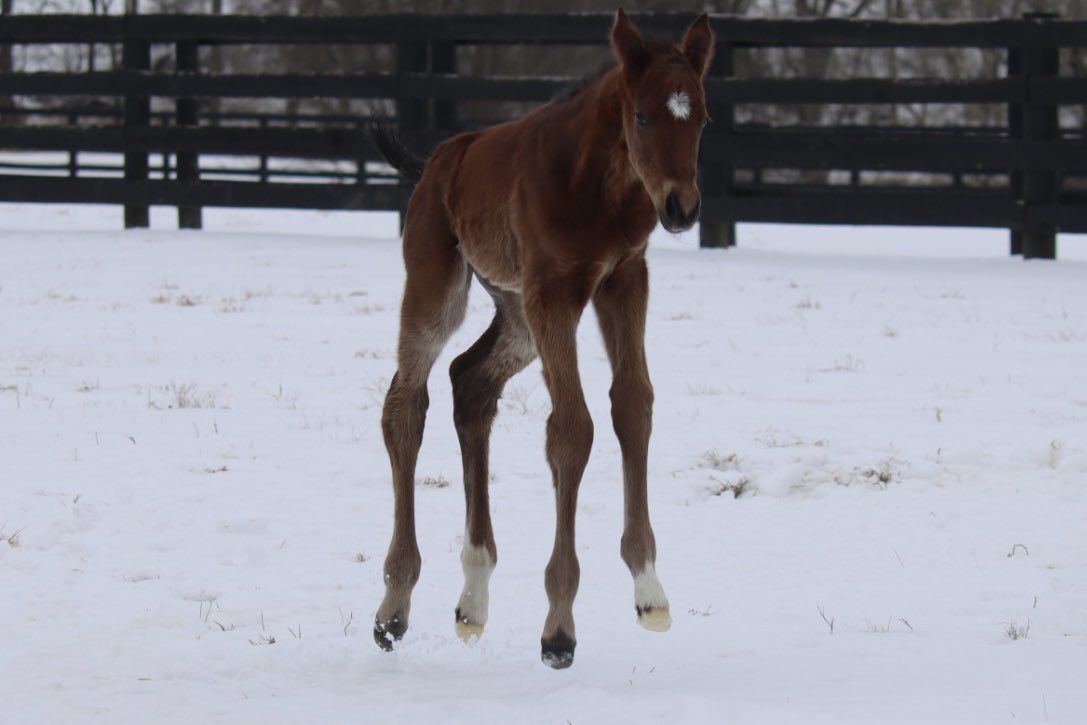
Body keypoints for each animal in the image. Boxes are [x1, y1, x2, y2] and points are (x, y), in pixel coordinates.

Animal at [371, 9, 714, 669]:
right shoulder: (555, 290)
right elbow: (572, 429)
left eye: (703, 116)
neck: (600, 184)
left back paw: (473, 598)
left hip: (516, 312)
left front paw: (649, 590)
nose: (681, 207)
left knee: (470, 383)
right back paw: (393, 607)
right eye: (642, 116)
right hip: (441, 284)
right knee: (406, 402)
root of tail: (439, 160)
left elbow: (632, 406)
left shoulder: (623, 278)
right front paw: (559, 627)